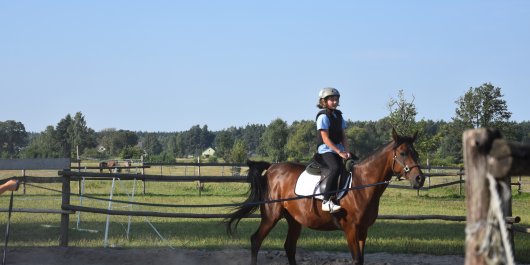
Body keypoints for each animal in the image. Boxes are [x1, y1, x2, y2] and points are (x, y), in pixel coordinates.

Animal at [225, 128, 422, 264]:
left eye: (416, 153)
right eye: (403, 153)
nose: (419, 179)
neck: (362, 184)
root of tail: (272, 167)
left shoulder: (363, 230)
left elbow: (361, 259)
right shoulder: (351, 229)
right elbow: (356, 259)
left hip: (294, 219)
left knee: (289, 247)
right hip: (271, 215)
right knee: (256, 241)